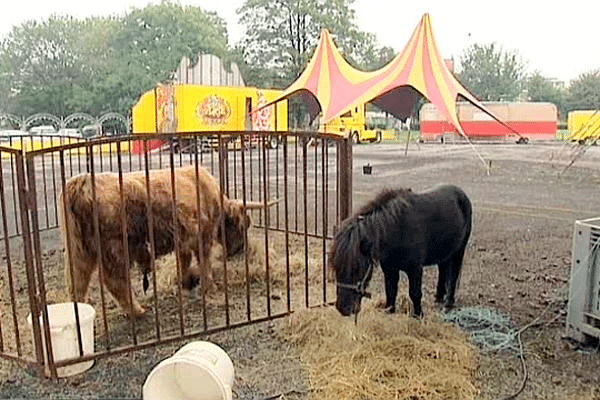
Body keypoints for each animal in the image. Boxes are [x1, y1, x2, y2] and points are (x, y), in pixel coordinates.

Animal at [60, 164, 264, 318]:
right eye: (242, 226)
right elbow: (204, 263)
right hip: (114, 247)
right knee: (115, 280)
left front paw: (185, 282)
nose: (240, 249)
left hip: (79, 251)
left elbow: (184, 260)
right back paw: (137, 311)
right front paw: (210, 288)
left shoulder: (184, 237)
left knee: (76, 282)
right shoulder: (202, 235)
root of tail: (81, 182)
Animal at [330, 184, 472, 318]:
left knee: (453, 275)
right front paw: (389, 310)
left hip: (459, 251)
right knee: (443, 270)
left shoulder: (415, 269)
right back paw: (438, 298)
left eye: (357, 269)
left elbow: (415, 293)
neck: (398, 229)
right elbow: (390, 290)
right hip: (444, 253)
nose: (343, 308)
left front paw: (418, 315)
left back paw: (448, 303)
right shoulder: (389, 268)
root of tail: (462, 194)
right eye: (336, 267)